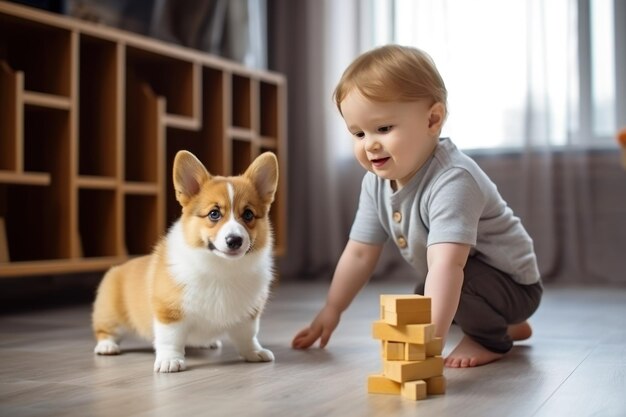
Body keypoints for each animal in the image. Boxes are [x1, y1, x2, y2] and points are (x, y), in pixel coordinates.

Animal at [92, 150, 278, 370]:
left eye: (248, 214)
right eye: (214, 214)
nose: (234, 240)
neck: (221, 267)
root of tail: (118, 269)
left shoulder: (248, 313)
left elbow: (248, 336)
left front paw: (254, 352)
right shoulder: (169, 312)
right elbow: (169, 339)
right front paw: (169, 360)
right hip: (112, 313)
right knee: (106, 330)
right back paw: (107, 346)